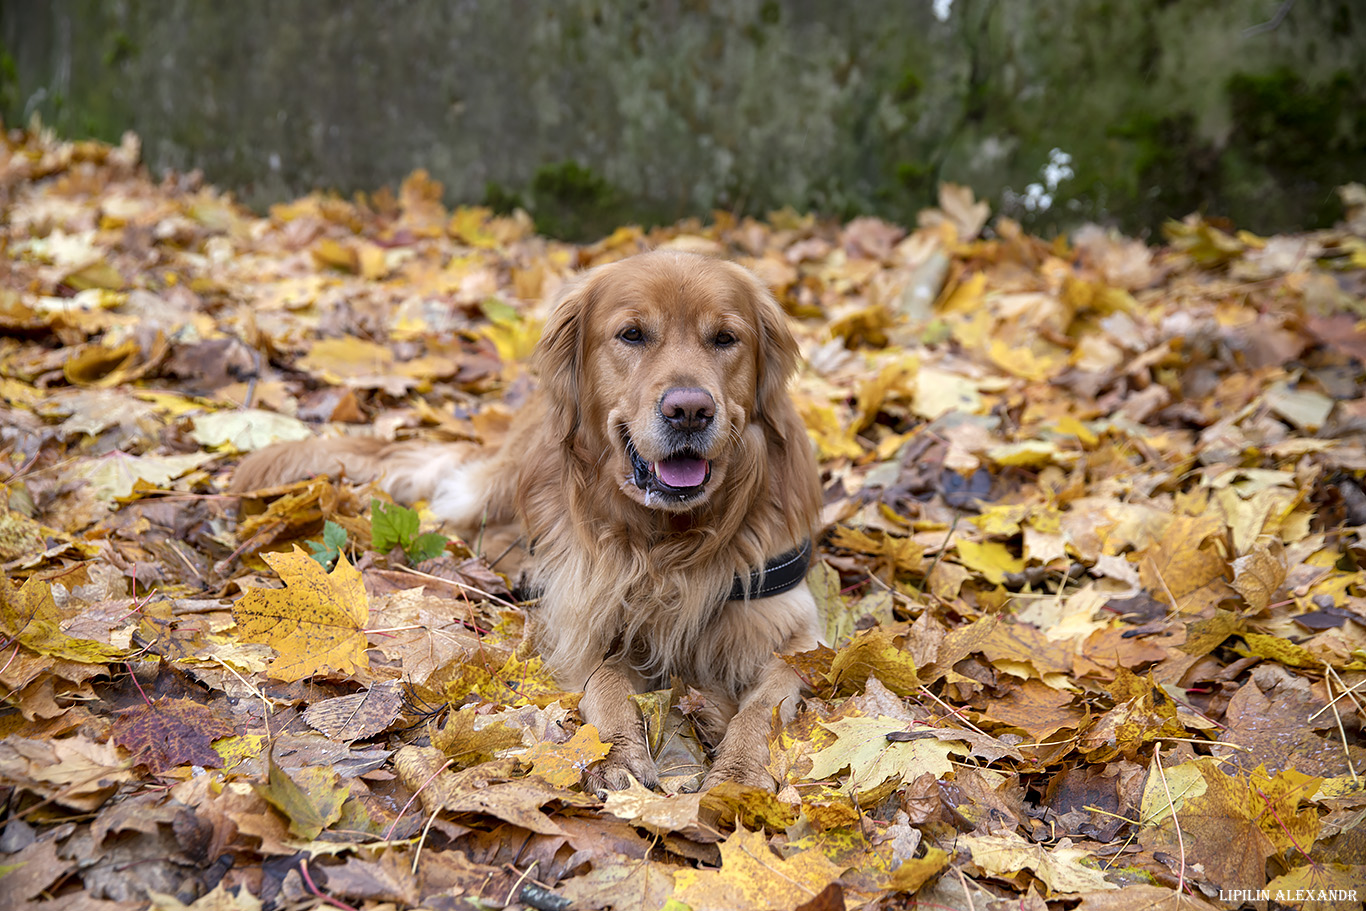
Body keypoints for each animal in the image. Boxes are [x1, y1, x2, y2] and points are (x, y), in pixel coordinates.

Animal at [232, 251, 819, 792]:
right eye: (631, 334)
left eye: (725, 338)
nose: (690, 410)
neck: (670, 541)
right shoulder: (585, 615)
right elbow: (606, 681)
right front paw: (615, 753)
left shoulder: (794, 631)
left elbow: (766, 703)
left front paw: (741, 774)